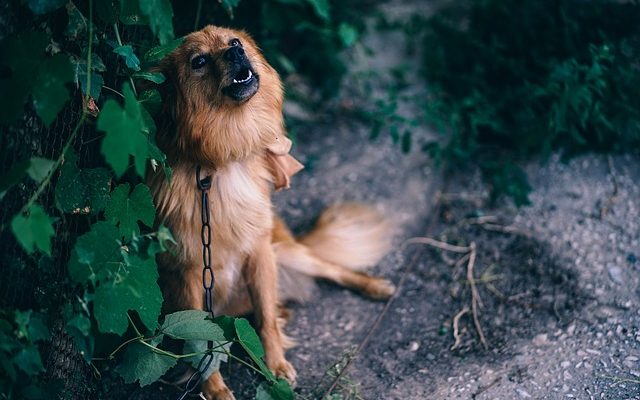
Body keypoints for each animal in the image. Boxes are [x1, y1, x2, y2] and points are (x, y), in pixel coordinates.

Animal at [148, 26, 396, 398]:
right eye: (199, 61)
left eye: (234, 43)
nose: (236, 54)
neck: (219, 161)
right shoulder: (189, 272)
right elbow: (200, 339)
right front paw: (215, 389)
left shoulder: (260, 252)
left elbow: (265, 317)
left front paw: (275, 367)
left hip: (286, 251)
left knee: (331, 268)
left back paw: (374, 286)